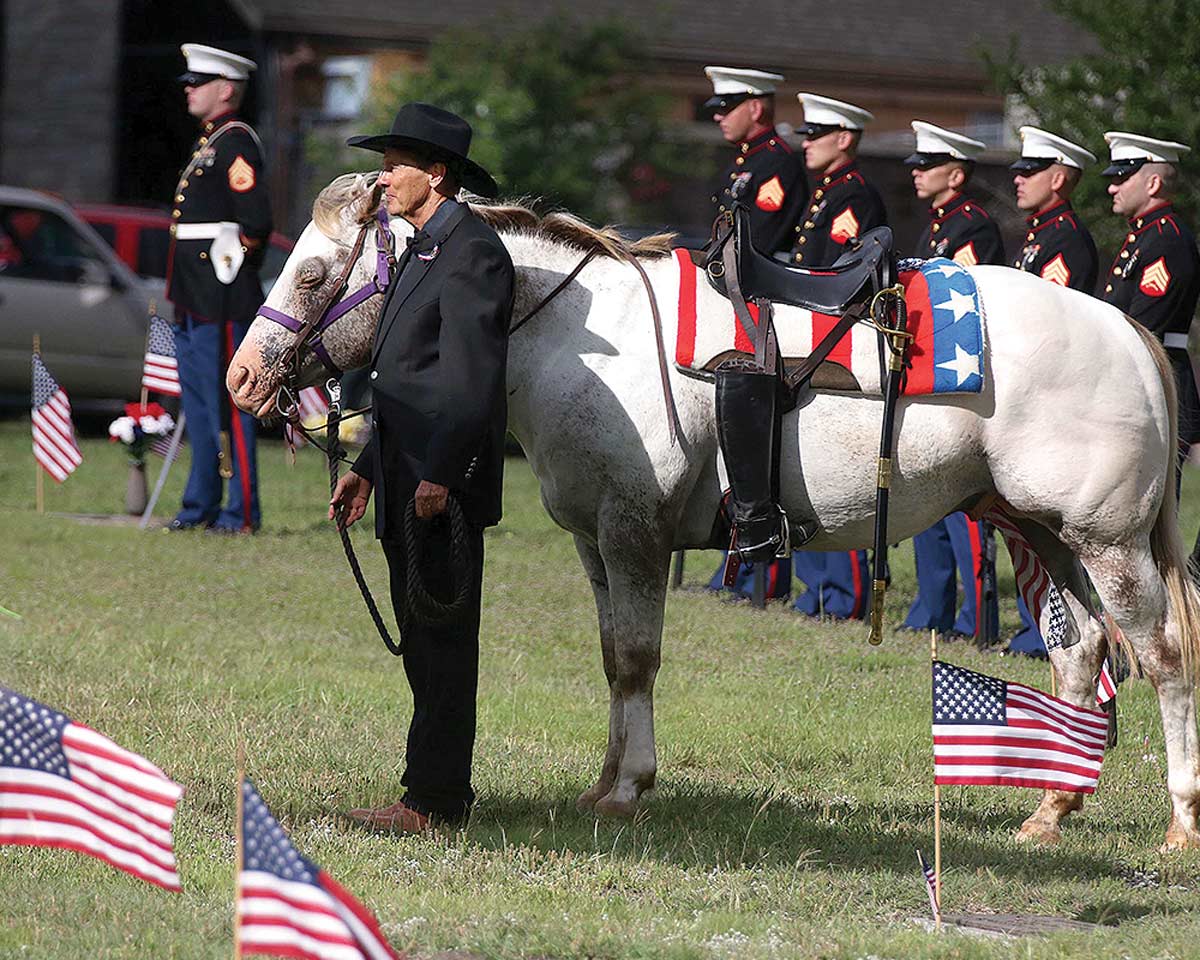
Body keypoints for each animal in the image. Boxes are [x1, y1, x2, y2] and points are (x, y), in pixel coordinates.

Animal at [226, 172, 1200, 849]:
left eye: (311, 274)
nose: (242, 377)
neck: (574, 334)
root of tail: (1124, 330)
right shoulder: (598, 543)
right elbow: (614, 659)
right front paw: (608, 782)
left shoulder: (636, 534)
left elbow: (638, 658)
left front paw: (630, 789)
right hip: (1038, 531)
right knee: (1081, 654)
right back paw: (1051, 810)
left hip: (1108, 544)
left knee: (1161, 657)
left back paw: (1179, 821)